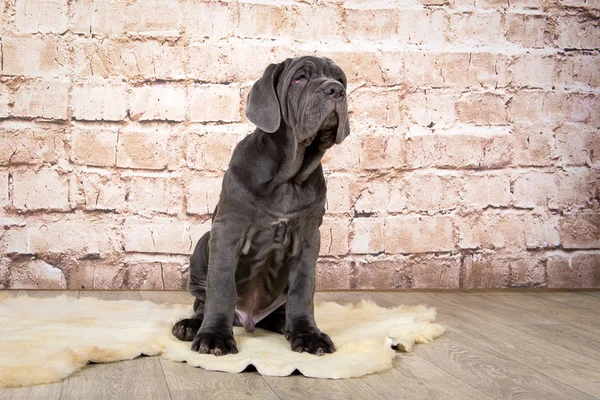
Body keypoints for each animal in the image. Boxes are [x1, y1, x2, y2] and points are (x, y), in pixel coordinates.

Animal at [171, 55, 350, 356]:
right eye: (300, 78)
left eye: (340, 79)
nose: (335, 90)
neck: (288, 179)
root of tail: (249, 319)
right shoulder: (227, 231)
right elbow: (221, 286)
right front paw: (214, 337)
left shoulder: (309, 238)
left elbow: (303, 288)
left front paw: (307, 334)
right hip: (204, 242)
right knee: (202, 303)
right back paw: (191, 325)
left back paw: (285, 325)